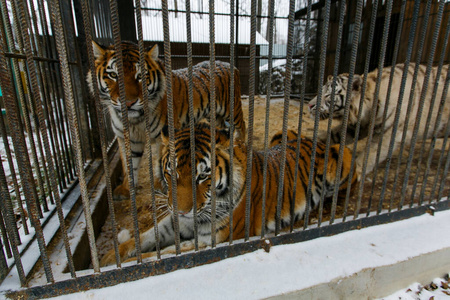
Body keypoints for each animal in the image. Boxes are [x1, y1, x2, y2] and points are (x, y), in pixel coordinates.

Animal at [87, 40, 246, 199]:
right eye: (113, 75)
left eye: (140, 76)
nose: (128, 103)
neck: (135, 120)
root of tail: (228, 64)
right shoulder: (128, 138)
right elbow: (129, 165)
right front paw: (126, 189)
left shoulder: (162, 135)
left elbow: (160, 161)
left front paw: (161, 186)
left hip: (231, 110)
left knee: (242, 125)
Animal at [100, 123, 356, 266]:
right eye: (172, 172)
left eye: (203, 176)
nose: (182, 211)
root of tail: (316, 141)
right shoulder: (175, 222)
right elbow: (145, 237)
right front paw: (110, 257)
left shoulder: (212, 239)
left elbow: (162, 254)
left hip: (344, 158)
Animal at [310, 64, 450, 175]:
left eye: (328, 95)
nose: (309, 105)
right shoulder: (358, 126)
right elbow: (332, 135)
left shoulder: (390, 133)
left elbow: (369, 155)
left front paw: (355, 173)